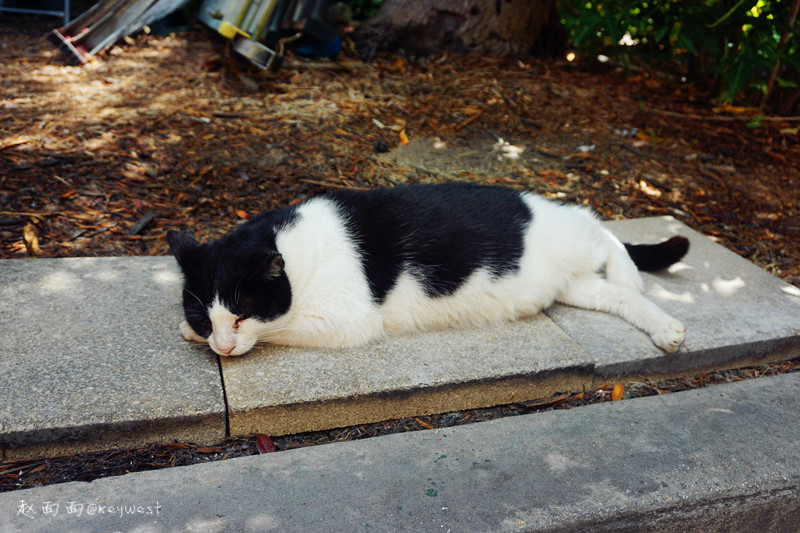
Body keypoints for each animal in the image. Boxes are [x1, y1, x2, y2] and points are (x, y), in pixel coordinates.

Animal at [164, 181, 688, 356]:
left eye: (241, 315)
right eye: (204, 315)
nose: (222, 345)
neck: (296, 248)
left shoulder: (347, 320)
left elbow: (278, 330)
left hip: (573, 236)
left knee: (600, 227)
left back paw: (634, 275)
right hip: (569, 285)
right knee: (618, 296)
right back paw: (664, 326)